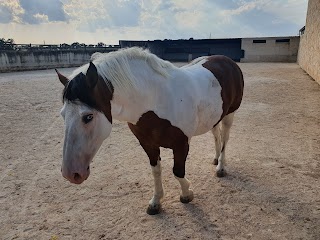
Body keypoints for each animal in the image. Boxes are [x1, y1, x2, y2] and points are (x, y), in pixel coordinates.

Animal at [56, 46, 244, 214]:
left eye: (88, 117)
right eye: (63, 114)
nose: (71, 174)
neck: (156, 99)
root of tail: (226, 60)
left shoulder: (182, 143)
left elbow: (177, 172)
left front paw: (186, 194)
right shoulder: (147, 143)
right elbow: (156, 170)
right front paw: (156, 202)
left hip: (230, 114)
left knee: (225, 138)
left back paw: (220, 167)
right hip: (215, 116)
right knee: (216, 135)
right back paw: (215, 158)